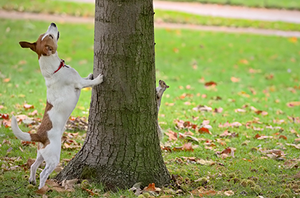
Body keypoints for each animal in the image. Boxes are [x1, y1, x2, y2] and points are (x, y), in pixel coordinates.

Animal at [10, 22, 103, 189]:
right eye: (50, 36)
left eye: (46, 34)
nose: (52, 23)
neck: (53, 70)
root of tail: (39, 135)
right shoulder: (79, 83)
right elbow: (88, 82)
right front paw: (97, 78)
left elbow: (86, 78)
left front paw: (90, 75)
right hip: (53, 158)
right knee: (43, 173)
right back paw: (42, 188)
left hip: (41, 154)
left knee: (33, 166)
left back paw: (32, 180)